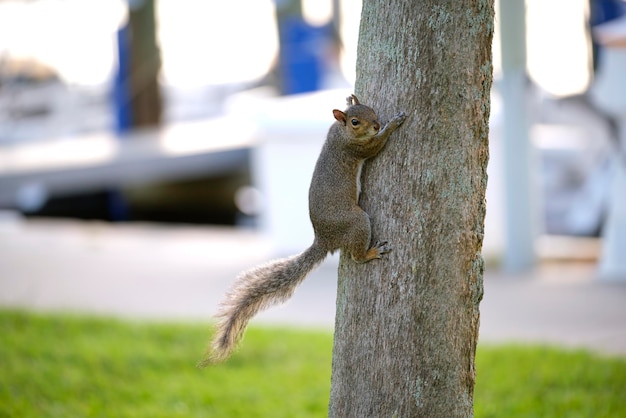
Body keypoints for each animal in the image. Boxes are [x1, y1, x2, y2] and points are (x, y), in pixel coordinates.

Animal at [200, 93, 404, 364]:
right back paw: (371, 252)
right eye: (355, 121)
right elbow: (376, 146)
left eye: (371, 110)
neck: (340, 132)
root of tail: (324, 238)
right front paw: (392, 125)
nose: (376, 124)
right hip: (357, 220)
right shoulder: (355, 148)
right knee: (356, 256)